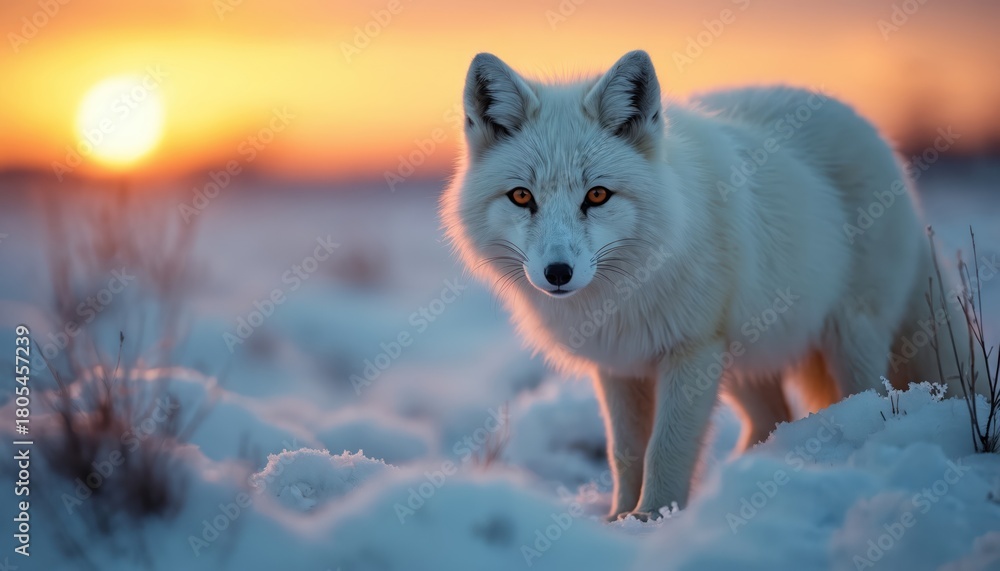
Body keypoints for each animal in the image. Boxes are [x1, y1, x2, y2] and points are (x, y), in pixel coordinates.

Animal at [440, 50, 985, 521]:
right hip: (743, 363)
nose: (557, 273)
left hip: (847, 338)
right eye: (521, 197)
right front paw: (618, 518)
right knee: (774, 419)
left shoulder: (691, 352)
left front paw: (651, 518)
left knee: (871, 400)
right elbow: (625, 452)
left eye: (596, 196)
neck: (626, 293)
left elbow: (666, 450)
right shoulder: (619, 365)